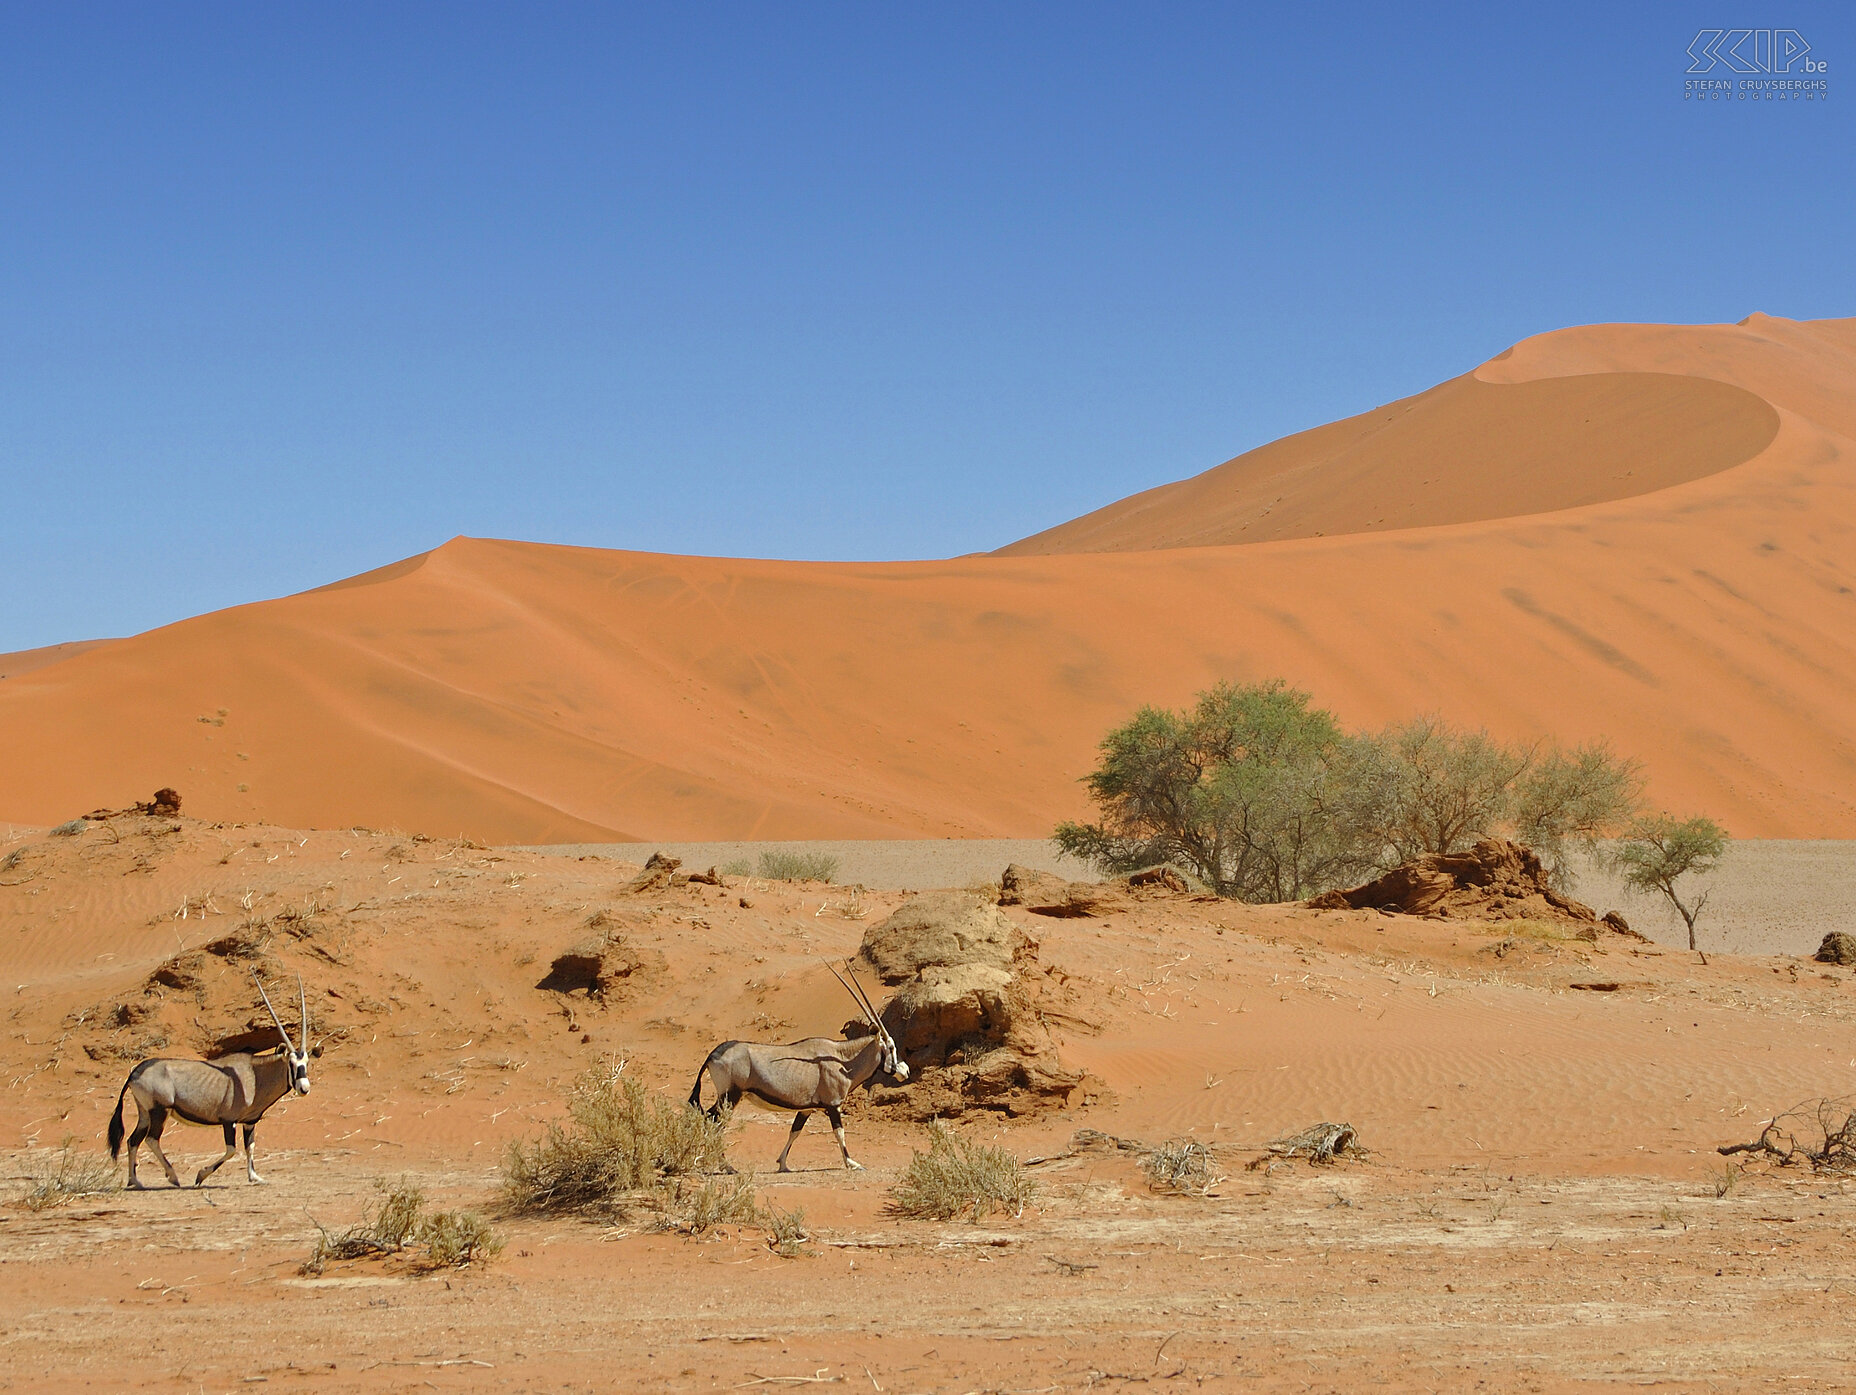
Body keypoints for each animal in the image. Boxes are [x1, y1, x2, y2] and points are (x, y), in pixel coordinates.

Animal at [106, 972, 311, 1187]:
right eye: (291, 1063)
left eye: (307, 1062)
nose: (304, 1088)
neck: (256, 1075)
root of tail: (136, 1071)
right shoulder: (229, 1120)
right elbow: (232, 1150)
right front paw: (200, 1175)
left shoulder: (249, 1121)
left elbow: (250, 1146)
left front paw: (255, 1177)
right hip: (159, 1111)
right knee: (151, 1140)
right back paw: (172, 1176)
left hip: (145, 1113)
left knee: (133, 1140)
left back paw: (134, 1181)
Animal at [690, 957, 905, 1164]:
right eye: (891, 1047)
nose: (905, 1071)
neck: (844, 1059)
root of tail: (713, 1054)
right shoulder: (833, 1105)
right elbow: (839, 1133)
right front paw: (852, 1163)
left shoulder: (806, 1109)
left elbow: (795, 1131)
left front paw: (782, 1164)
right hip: (730, 1095)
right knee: (713, 1121)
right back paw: (725, 1166)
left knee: (710, 1119)